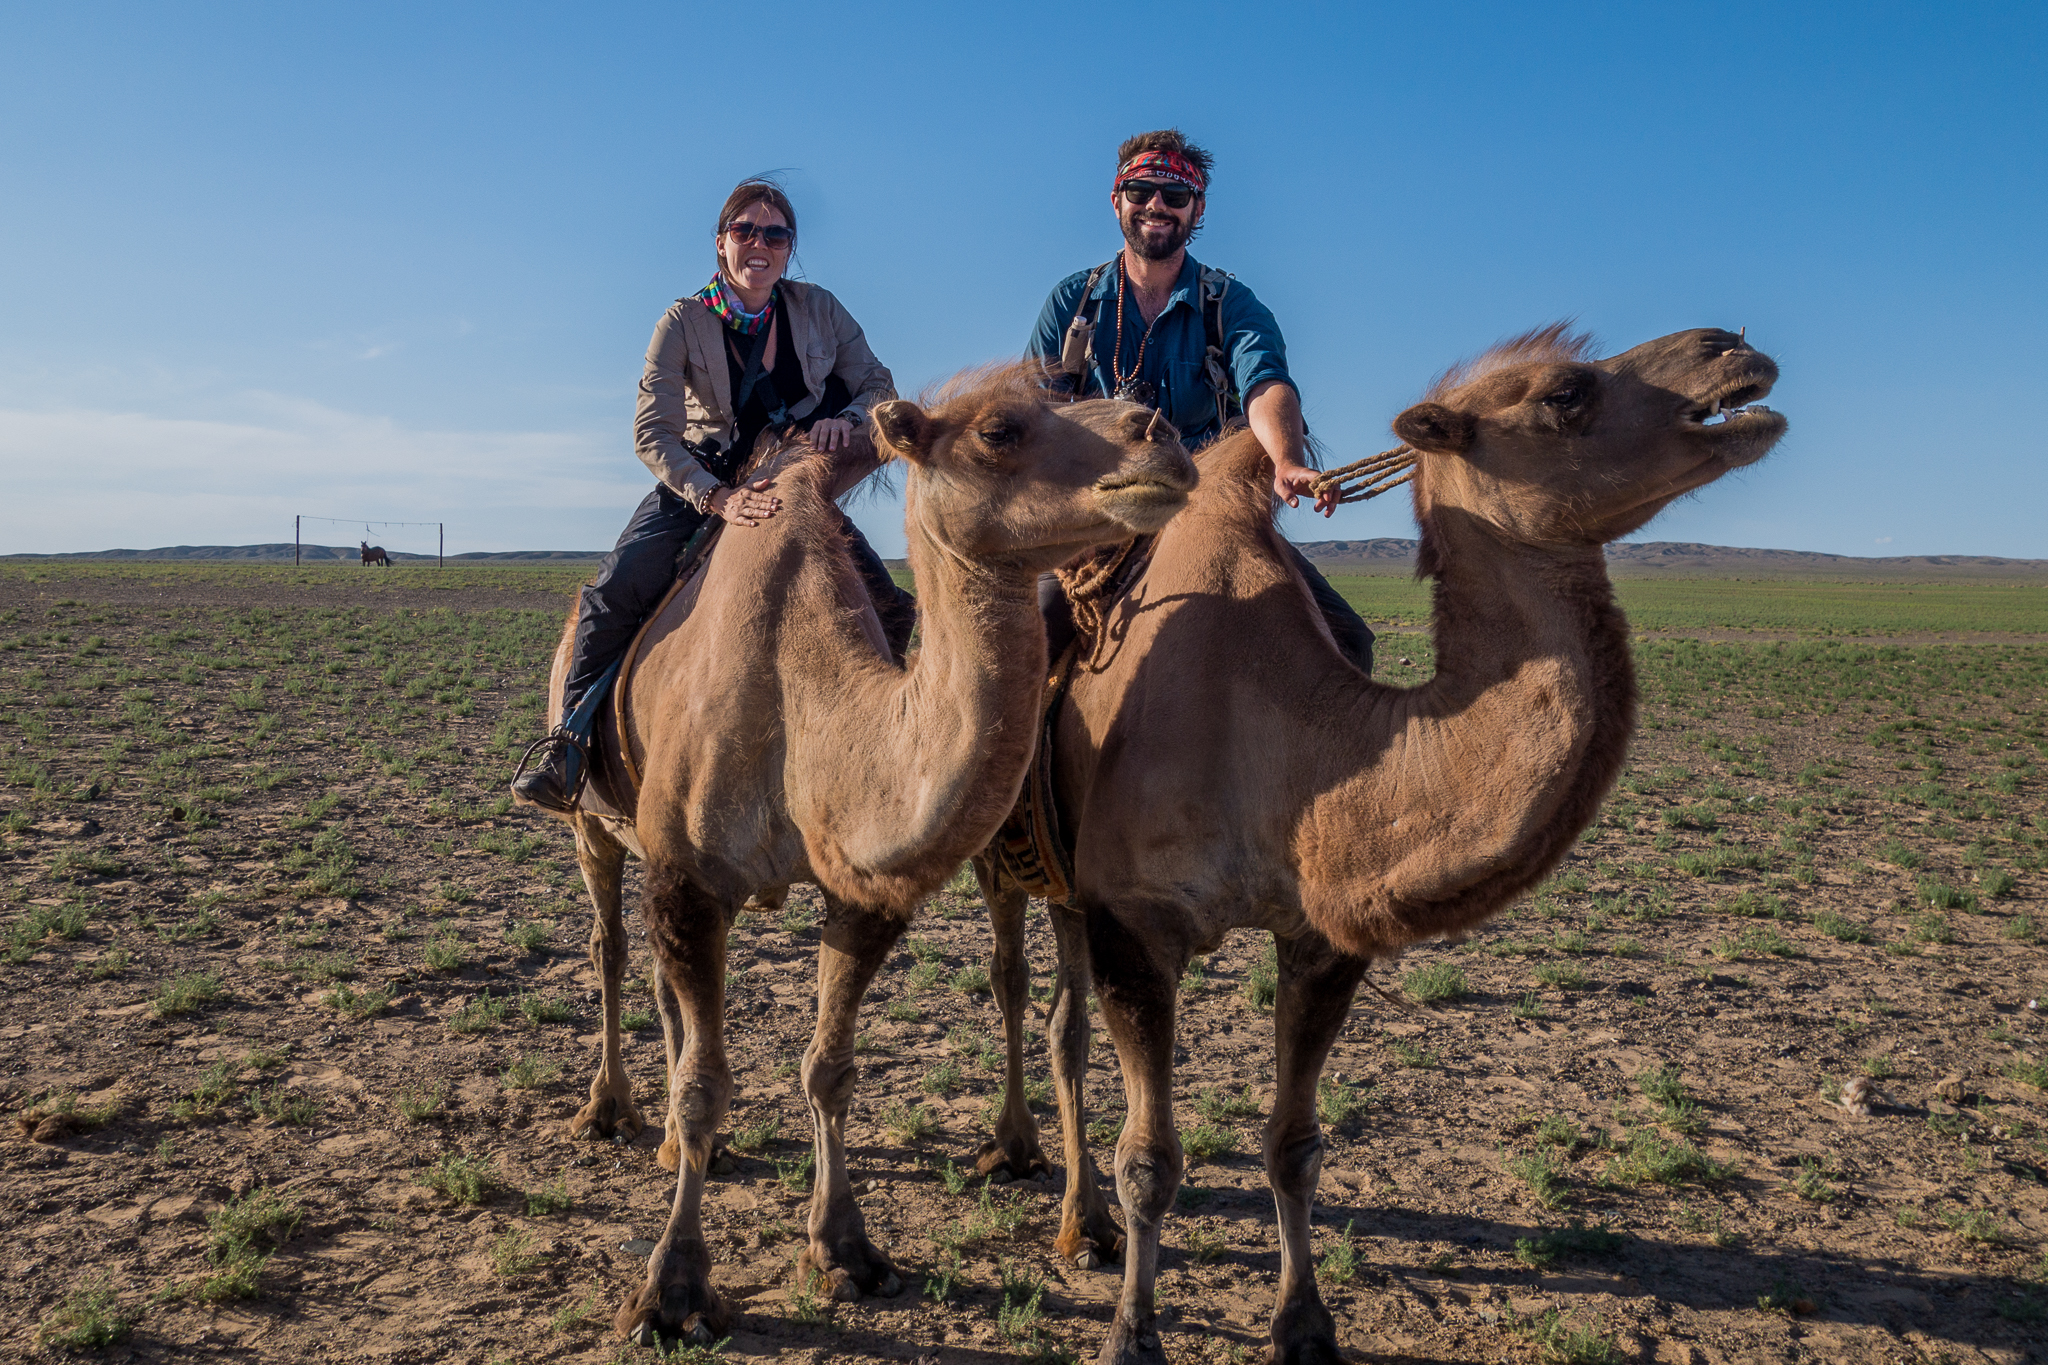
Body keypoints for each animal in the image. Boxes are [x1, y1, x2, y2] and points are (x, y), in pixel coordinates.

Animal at [538, 365, 1197, 1349]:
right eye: (1000, 430)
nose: (1162, 435)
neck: (804, 704)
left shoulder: (863, 891)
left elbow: (829, 1067)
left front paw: (846, 1248)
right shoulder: (689, 878)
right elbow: (704, 1085)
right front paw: (673, 1291)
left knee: (659, 982)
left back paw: (672, 1139)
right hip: (593, 823)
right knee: (610, 948)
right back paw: (609, 1110)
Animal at [970, 326, 1788, 1364]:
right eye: (1566, 392)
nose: (1733, 352)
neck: (1281, 731)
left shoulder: (1320, 934)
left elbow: (1296, 1145)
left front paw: (1305, 1325)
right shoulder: (1140, 923)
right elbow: (1151, 1159)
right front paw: (1132, 1334)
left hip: (1076, 891)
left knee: (1064, 1021)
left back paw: (1085, 1224)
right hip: (1011, 859)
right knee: (1017, 987)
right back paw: (1030, 1169)